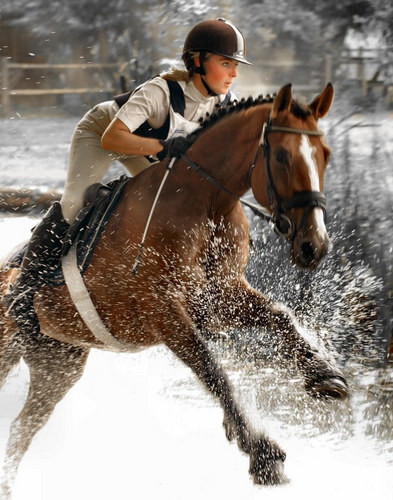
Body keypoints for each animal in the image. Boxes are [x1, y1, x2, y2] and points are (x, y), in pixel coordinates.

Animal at [0, 84, 348, 494]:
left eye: (325, 155)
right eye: (280, 155)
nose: (315, 246)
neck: (205, 202)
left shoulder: (220, 296)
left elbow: (280, 316)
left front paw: (324, 375)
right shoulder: (164, 313)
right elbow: (213, 372)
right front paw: (262, 454)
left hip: (57, 362)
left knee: (21, 430)